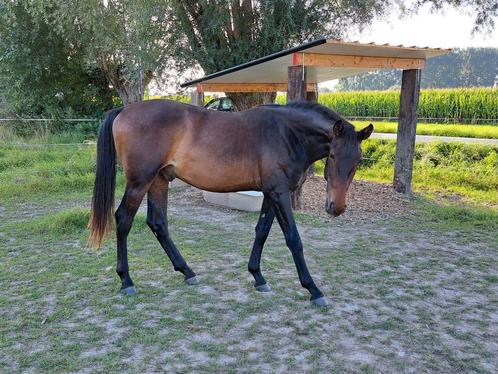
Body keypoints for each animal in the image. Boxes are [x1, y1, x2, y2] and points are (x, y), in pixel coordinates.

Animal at [87, 100, 372, 306]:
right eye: (332, 155)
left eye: (358, 159)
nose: (337, 207)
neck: (287, 133)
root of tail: (125, 109)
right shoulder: (279, 193)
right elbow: (293, 239)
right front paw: (313, 288)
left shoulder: (270, 194)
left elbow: (262, 231)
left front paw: (257, 276)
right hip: (140, 182)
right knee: (123, 220)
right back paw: (127, 281)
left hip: (159, 180)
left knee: (158, 223)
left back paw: (187, 271)